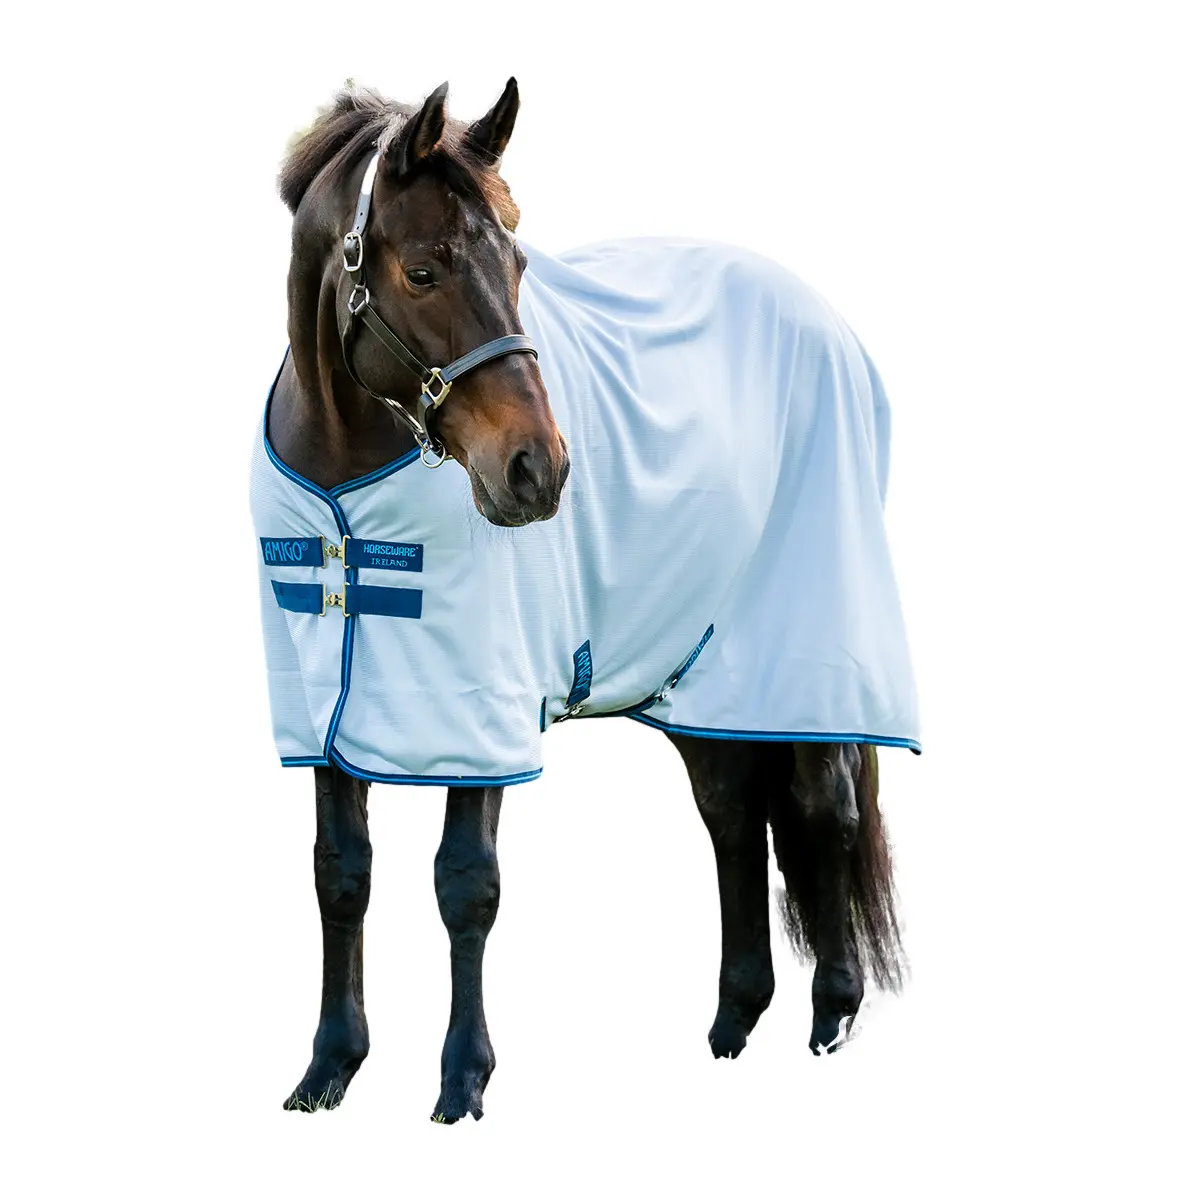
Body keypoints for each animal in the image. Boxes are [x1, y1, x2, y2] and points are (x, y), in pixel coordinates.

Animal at [255, 79, 918, 1122]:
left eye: (519, 260)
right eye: (421, 270)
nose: (538, 469)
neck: (344, 478)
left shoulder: (480, 711)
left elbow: (466, 885)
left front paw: (462, 1081)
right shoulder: (326, 712)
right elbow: (340, 876)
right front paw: (328, 1069)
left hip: (807, 645)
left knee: (825, 809)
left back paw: (832, 1019)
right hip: (702, 669)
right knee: (733, 812)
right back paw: (733, 1025)